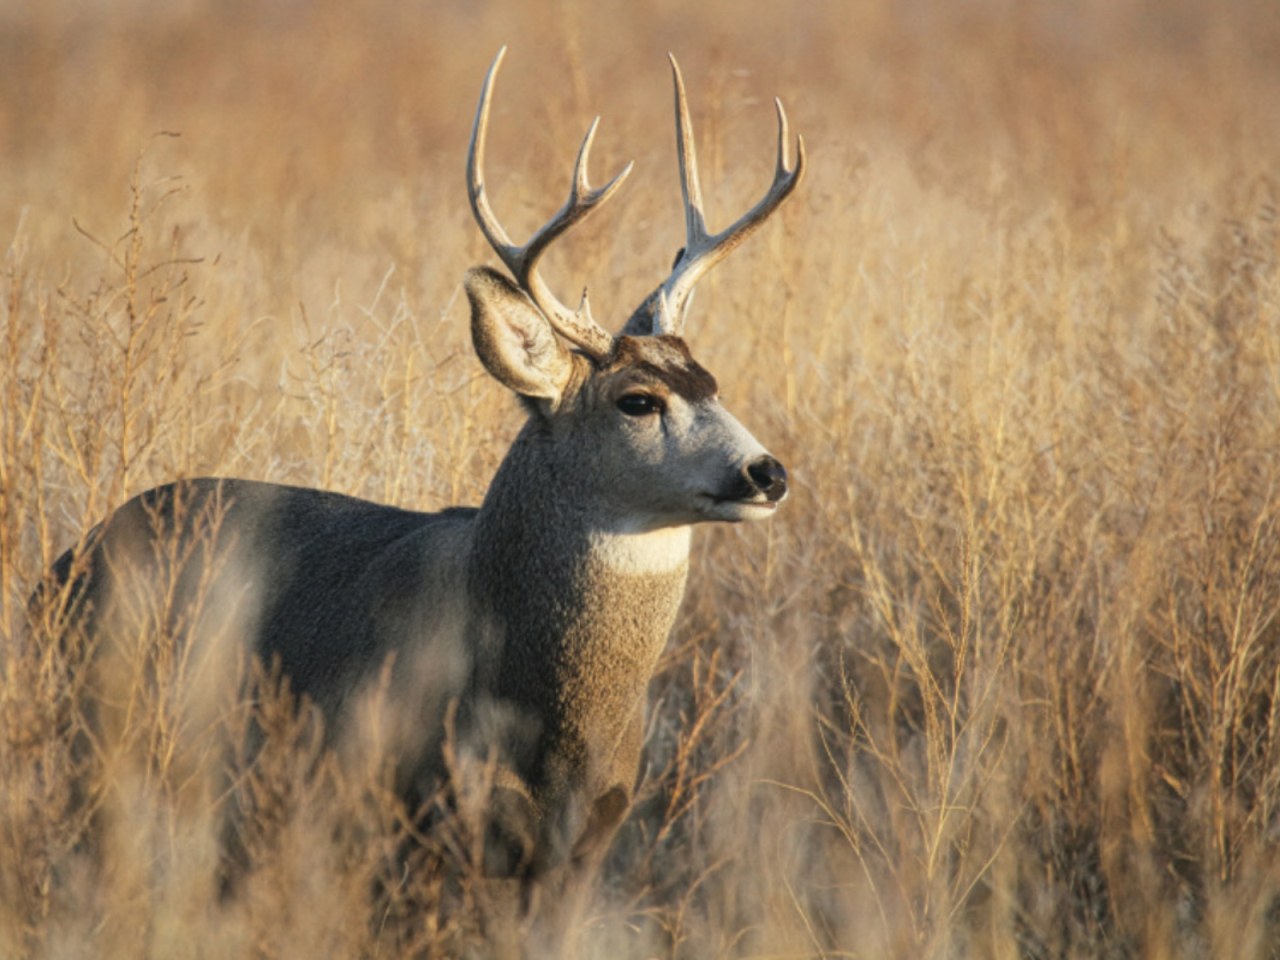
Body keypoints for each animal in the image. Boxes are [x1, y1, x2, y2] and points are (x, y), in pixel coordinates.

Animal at [37, 48, 804, 895]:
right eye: (637, 400)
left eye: (712, 381)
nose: (767, 472)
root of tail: (65, 565)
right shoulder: (402, 807)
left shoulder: (587, 840)